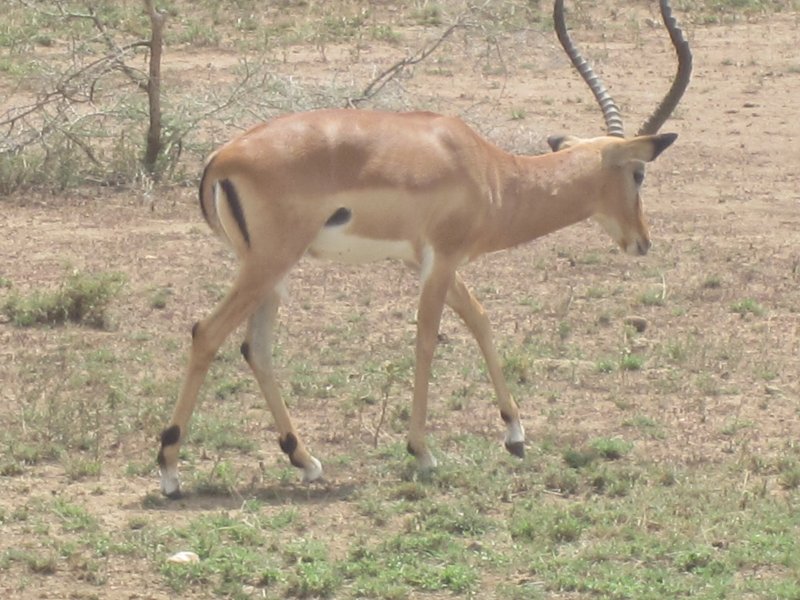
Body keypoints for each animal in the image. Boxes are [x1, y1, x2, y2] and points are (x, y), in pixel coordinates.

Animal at [157, 0, 692, 497]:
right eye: (639, 174)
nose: (642, 241)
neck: (491, 173)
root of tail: (221, 158)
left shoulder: (429, 260)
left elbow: (479, 319)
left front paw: (515, 435)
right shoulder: (442, 259)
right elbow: (427, 340)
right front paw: (422, 452)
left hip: (271, 272)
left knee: (256, 348)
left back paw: (305, 461)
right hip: (268, 264)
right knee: (206, 333)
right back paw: (169, 471)